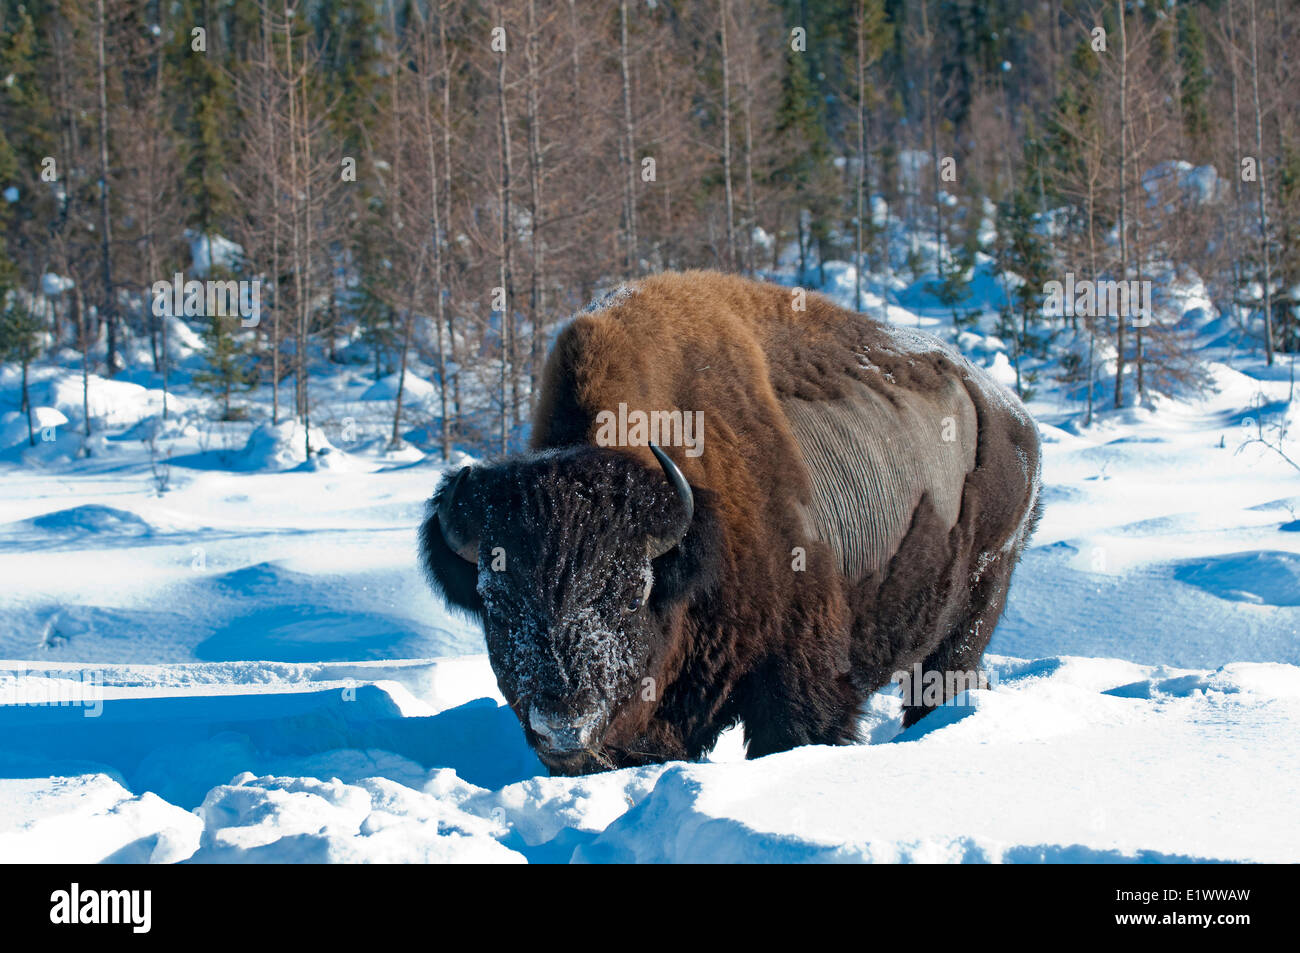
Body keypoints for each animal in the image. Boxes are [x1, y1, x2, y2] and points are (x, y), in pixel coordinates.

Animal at [421, 267, 1040, 774]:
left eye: (632, 592)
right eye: (495, 603)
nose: (563, 727)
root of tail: (1013, 415)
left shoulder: (799, 674)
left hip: (978, 604)